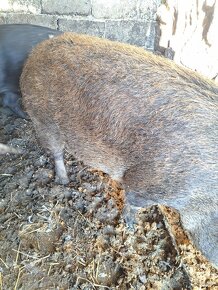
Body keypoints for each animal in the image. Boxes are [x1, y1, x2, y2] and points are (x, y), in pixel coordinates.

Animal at [19, 32, 217, 268]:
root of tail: (37, 52)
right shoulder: (147, 184)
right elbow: (132, 202)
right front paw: (131, 225)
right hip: (43, 119)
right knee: (56, 152)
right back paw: (64, 181)